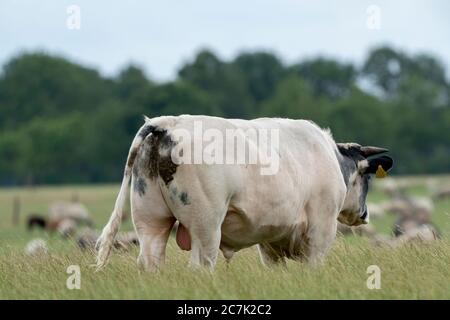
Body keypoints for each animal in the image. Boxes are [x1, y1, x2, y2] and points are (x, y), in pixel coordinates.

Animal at [96, 115, 394, 270]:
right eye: (367, 179)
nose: (364, 214)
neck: (329, 156)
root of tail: (169, 123)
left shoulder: (271, 241)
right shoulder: (320, 233)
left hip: (151, 221)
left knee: (150, 262)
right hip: (205, 228)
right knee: (201, 265)